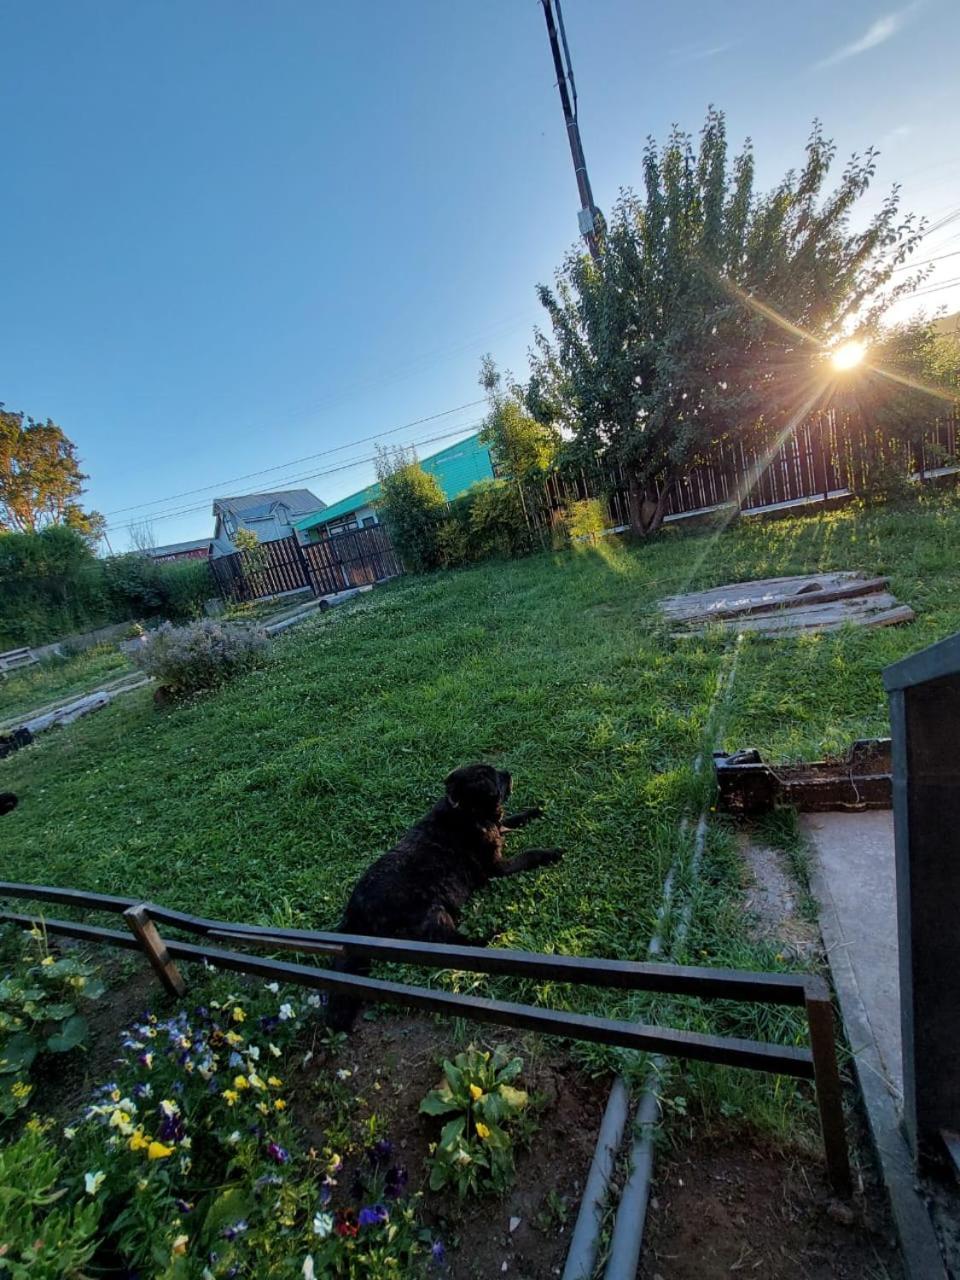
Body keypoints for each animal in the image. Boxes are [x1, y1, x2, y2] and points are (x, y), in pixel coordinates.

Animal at [327, 757, 560, 1029]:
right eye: (494, 777)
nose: (509, 773)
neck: (466, 811)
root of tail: (353, 913)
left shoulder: (500, 829)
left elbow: (514, 818)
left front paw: (535, 811)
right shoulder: (496, 867)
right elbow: (528, 854)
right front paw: (549, 853)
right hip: (434, 912)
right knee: (455, 947)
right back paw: (495, 935)